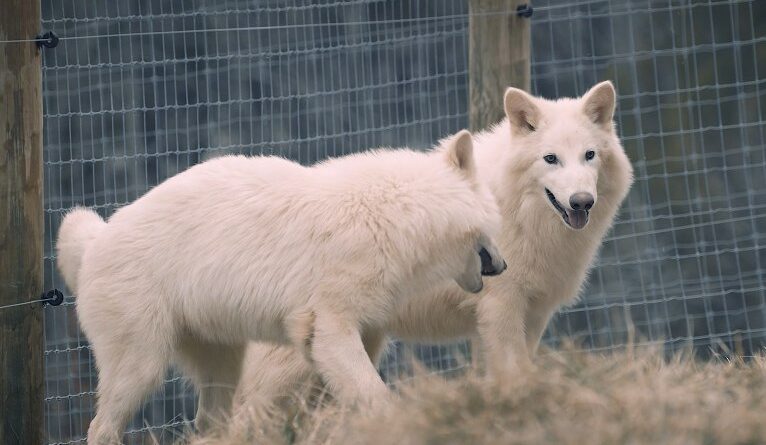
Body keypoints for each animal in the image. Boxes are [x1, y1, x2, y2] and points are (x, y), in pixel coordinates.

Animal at [56, 129, 507, 444]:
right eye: (495, 219)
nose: (501, 267)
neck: (393, 215)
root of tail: (93, 242)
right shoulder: (331, 303)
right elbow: (350, 367)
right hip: (139, 331)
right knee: (114, 407)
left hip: (214, 340)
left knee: (213, 405)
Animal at [233, 81, 634, 417]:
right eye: (551, 159)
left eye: (589, 155)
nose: (581, 202)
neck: (519, 212)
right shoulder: (501, 308)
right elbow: (513, 372)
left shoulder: (534, 315)